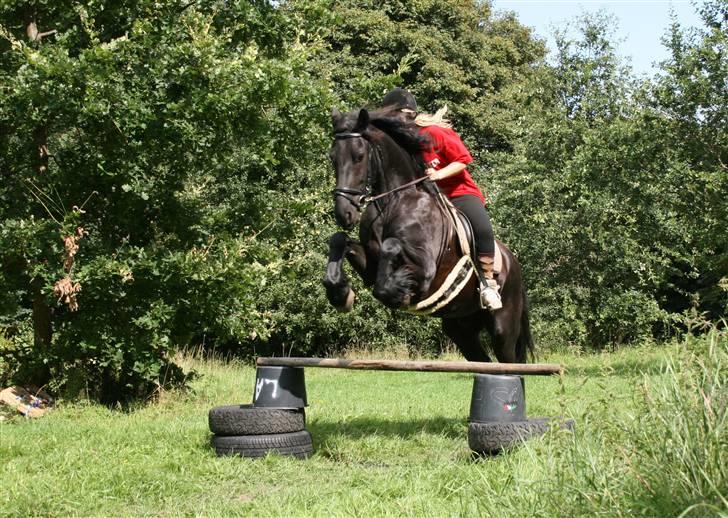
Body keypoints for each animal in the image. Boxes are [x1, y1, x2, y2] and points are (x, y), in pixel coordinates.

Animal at [322, 107, 532, 364]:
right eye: (333, 158)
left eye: (359, 156)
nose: (344, 214)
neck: (394, 200)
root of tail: (515, 263)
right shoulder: (370, 267)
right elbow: (339, 240)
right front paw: (340, 294)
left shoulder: (426, 272)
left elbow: (391, 250)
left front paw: (399, 293)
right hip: (461, 328)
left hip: (503, 327)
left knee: (509, 361)